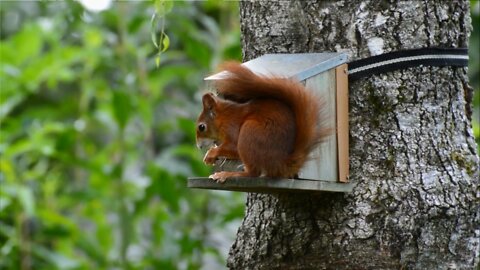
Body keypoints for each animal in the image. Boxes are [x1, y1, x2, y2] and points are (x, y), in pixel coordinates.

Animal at [196, 62, 330, 182]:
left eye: (201, 127)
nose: (199, 146)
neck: (224, 117)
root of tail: (281, 164)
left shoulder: (231, 126)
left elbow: (233, 146)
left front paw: (211, 153)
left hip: (250, 133)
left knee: (253, 173)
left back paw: (228, 174)